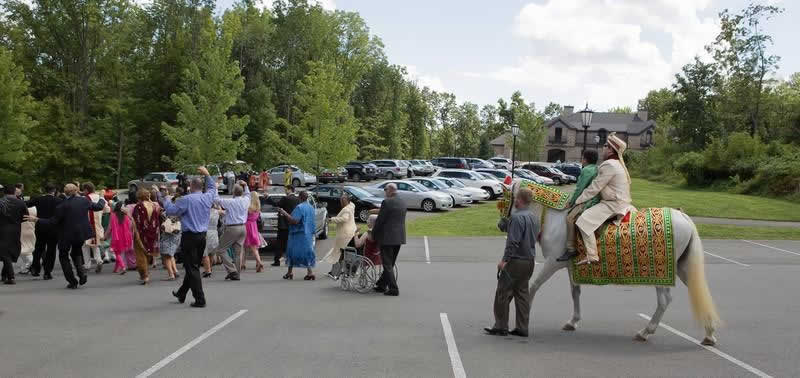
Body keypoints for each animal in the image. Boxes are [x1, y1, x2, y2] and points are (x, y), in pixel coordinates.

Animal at [520, 202, 720, 344]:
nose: (505, 223)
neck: (554, 221)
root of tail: (683, 216)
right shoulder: (571, 267)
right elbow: (575, 292)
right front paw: (573, 321)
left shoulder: (552, 263)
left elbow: (533, 286)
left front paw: (524, 314)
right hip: (681, 267)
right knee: (698, 293)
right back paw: (709, 333)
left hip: (662, 271)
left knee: (664, 301)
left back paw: (645, 332)